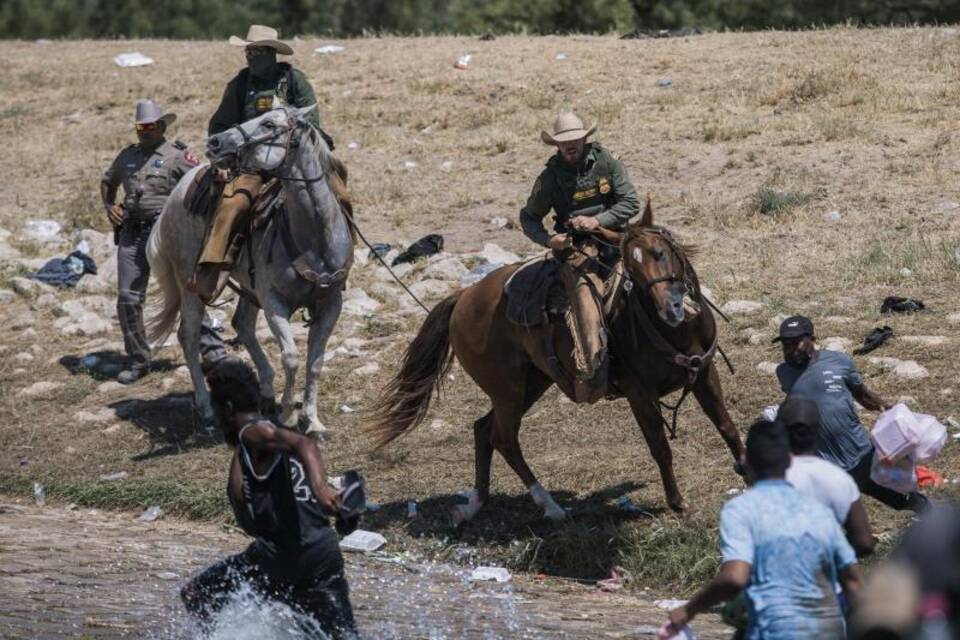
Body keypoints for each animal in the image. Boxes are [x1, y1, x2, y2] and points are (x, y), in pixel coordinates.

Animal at [150, 106, 356, 436]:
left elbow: (315, 361)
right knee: (189, 336)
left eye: (269, 123)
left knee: (242, 324)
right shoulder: (274, 302)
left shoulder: (330, 303)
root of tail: (176, 194)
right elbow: (292, 357)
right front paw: (288, 414)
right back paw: (207, 409)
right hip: (191, 285)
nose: (215, 142)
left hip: (248, 288)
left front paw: (312, 421)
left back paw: (267, 392)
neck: (314, 238)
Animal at [372, 205, 748, 524]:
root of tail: (463, 297)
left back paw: (475, 504)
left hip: (533, 382)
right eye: (632, 269)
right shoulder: (640, 393)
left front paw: (747, 471)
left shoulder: (704, 373)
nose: (671, 308)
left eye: (661, 253)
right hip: (508, 389)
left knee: (483, 429)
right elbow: (660, 447)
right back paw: (549, 506)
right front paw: (678, 503)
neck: (675, 332)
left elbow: (727, 426)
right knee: (504, 437)